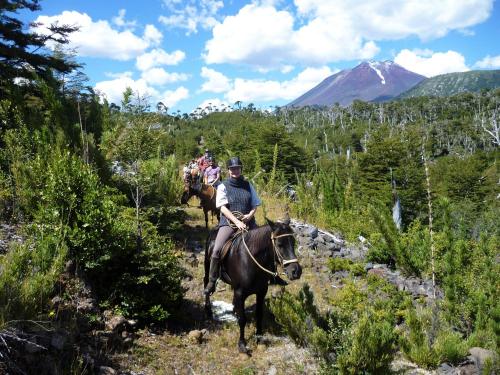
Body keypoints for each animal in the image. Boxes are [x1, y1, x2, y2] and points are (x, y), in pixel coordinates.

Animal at [203, 217, 300, 356]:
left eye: (293, 242)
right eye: (280, 244)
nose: (296, 271)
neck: (250, 261)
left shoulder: (261, 292)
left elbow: (259, 314)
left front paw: (259, 337)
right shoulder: (240, 293)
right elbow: (242, 320)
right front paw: (242, 344)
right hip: (208, 263)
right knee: (206, 281)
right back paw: (208, 309)